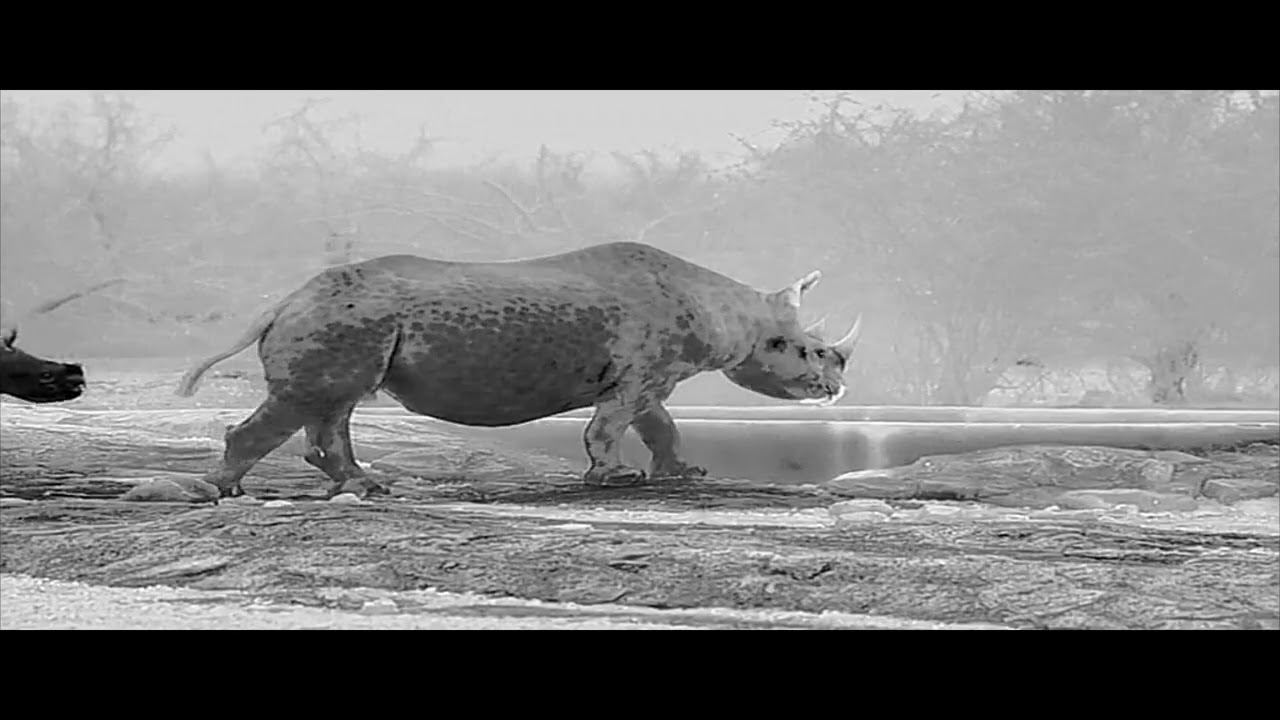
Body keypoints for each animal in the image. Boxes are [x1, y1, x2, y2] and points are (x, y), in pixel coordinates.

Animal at [176, 242, 862, 498]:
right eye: (811, 352)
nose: (837, 388)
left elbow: (659, 423)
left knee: (333, 403)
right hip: (346, 319)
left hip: (350, 323)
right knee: (314, 400)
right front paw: (617, 480)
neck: (733, 311)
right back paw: (223, 492)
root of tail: (281, 303)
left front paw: (684, 473)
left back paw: (369, 487)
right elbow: (612, 425)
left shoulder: (652, 376)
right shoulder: (643, 370)